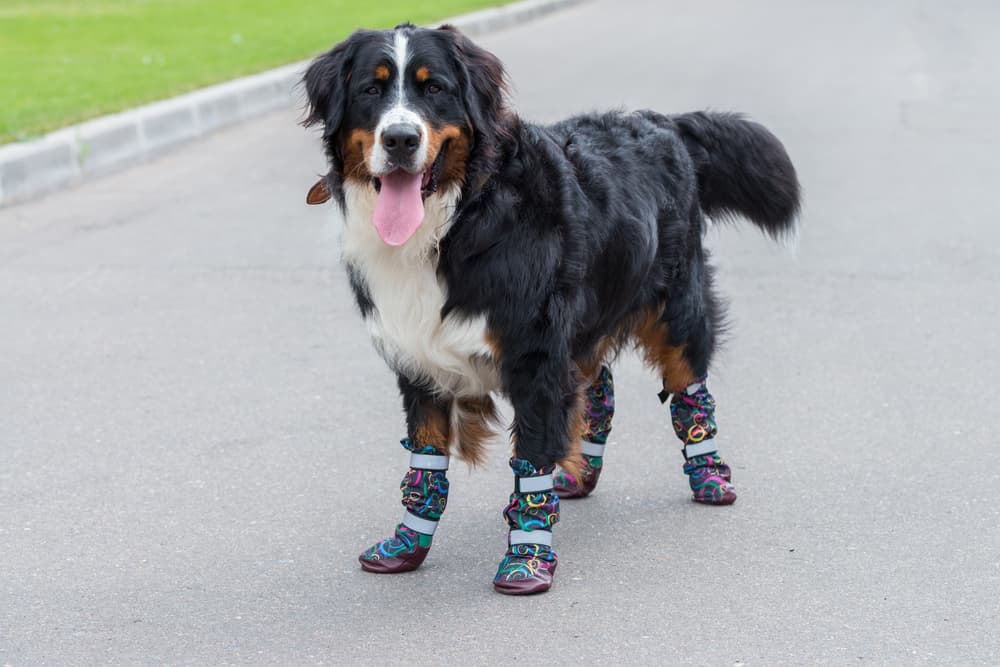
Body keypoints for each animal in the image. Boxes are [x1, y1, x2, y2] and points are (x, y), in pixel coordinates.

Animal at [300, 22, 800, 596]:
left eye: (434, 89)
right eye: (370, 89)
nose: (400, 139)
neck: (458, 218)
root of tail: (660, 121)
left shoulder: (535, 356)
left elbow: (532, 459)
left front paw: (528, 559)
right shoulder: (419, 360)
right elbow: (424, 461)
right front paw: (407, 545)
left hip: (679, 309)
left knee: (688, 390)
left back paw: (710, 475)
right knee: (597, 391)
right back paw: (580, 473)